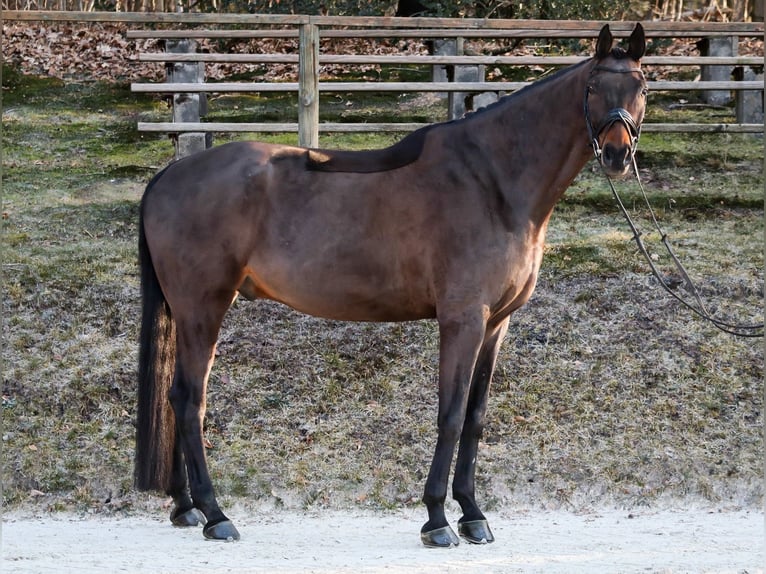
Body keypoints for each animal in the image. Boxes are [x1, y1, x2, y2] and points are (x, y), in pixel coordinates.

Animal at [136, 23, 648, 548]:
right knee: (189, 400)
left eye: (642, 87)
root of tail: (169, 175)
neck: (493, 181)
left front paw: (472, 513)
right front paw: (438, 519)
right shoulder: (463, 320)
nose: (617, 154)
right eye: (593, 87)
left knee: (175, 397)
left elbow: (475, 418)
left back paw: (185, 507)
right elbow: (450, 414)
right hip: (203, 309)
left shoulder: (496, 324)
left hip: (187, 313)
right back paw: (215, 513)